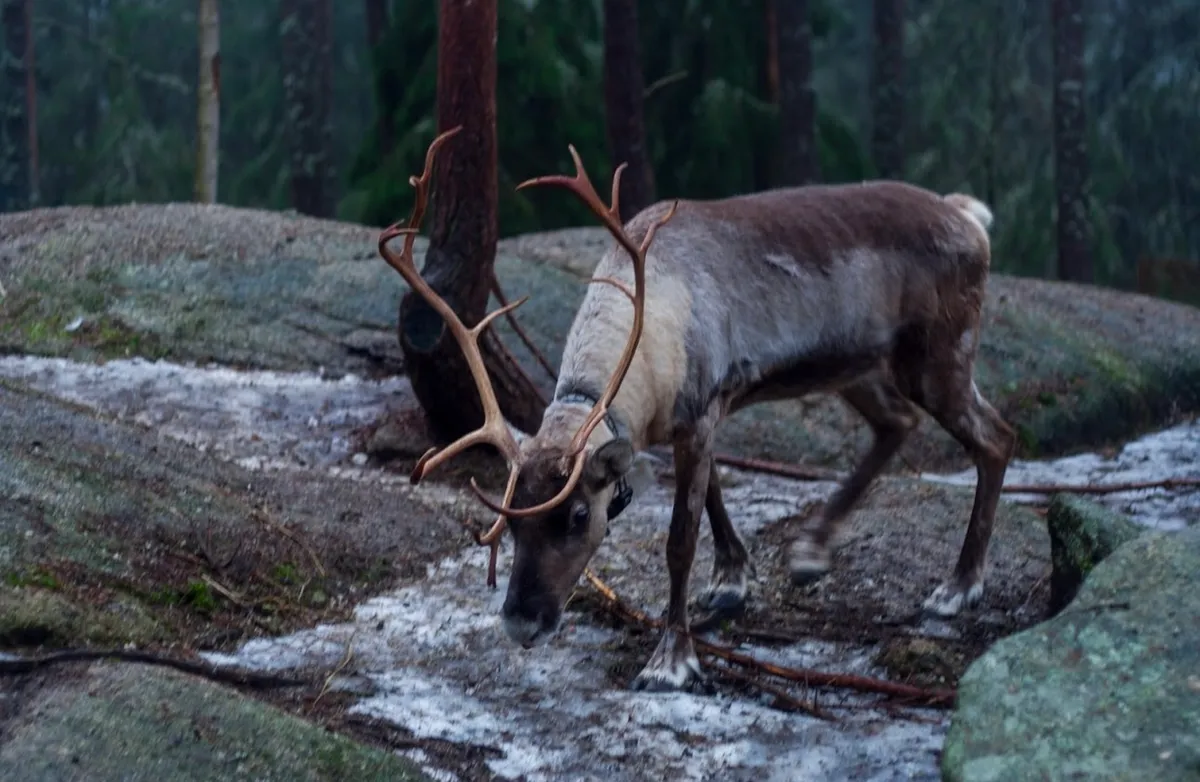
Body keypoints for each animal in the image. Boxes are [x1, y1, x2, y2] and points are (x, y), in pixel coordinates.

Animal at [379, 126, 1016, 693]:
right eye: (511, 520)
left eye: (578, 516)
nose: (520, 622)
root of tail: (967, 215)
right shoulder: (688, 421)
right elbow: (713, 494)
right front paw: (734, 579)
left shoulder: (702, 408)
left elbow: (681, 539)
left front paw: (671, 661)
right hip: (855, 365)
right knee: (897, 423)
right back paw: (812, 549)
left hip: (937, 352)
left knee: (995, 437)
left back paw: (958, 587)